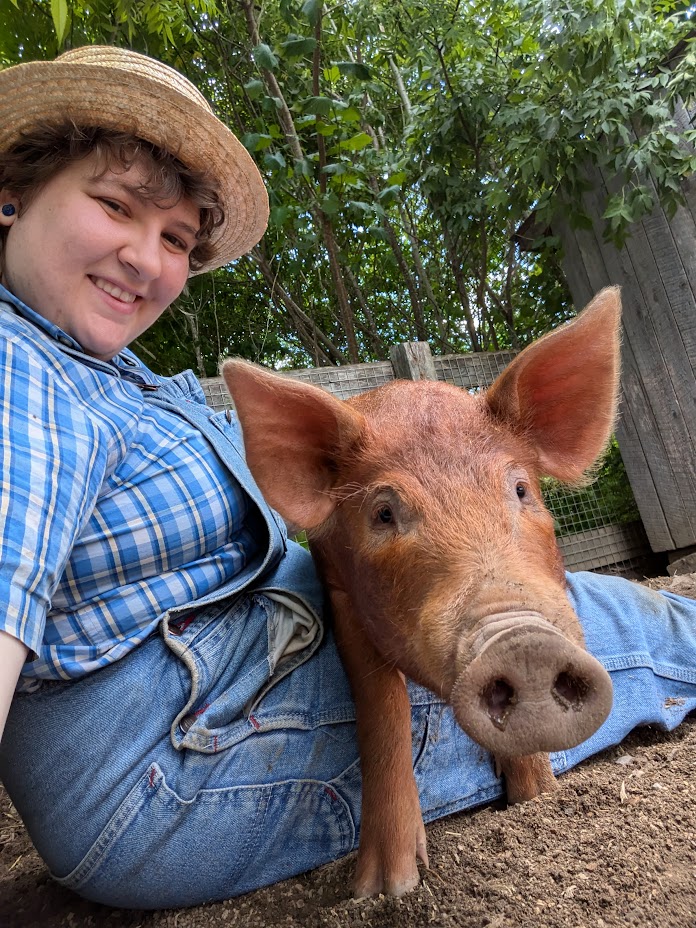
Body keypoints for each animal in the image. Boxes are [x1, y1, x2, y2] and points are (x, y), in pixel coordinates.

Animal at [221, 287, 621, 898]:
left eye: (521, 489)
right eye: (384, 514)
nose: (524, 644)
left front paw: (537, 798)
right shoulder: (338, 589)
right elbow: (381, 707)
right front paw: (387, 887)